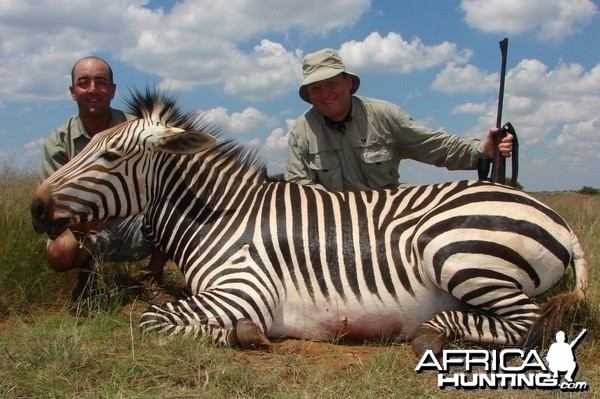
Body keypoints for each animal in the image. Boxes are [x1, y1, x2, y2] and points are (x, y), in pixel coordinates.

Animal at [30, 90, 588, 356]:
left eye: (110, 156)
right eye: (87, 146)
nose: (36, 208)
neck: (221, 219)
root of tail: (553, 214)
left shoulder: (243, 290)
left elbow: (152, 320)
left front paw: (243, 335)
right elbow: (157, 316)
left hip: (454, 252)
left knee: (528, 324)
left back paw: (433, 335)